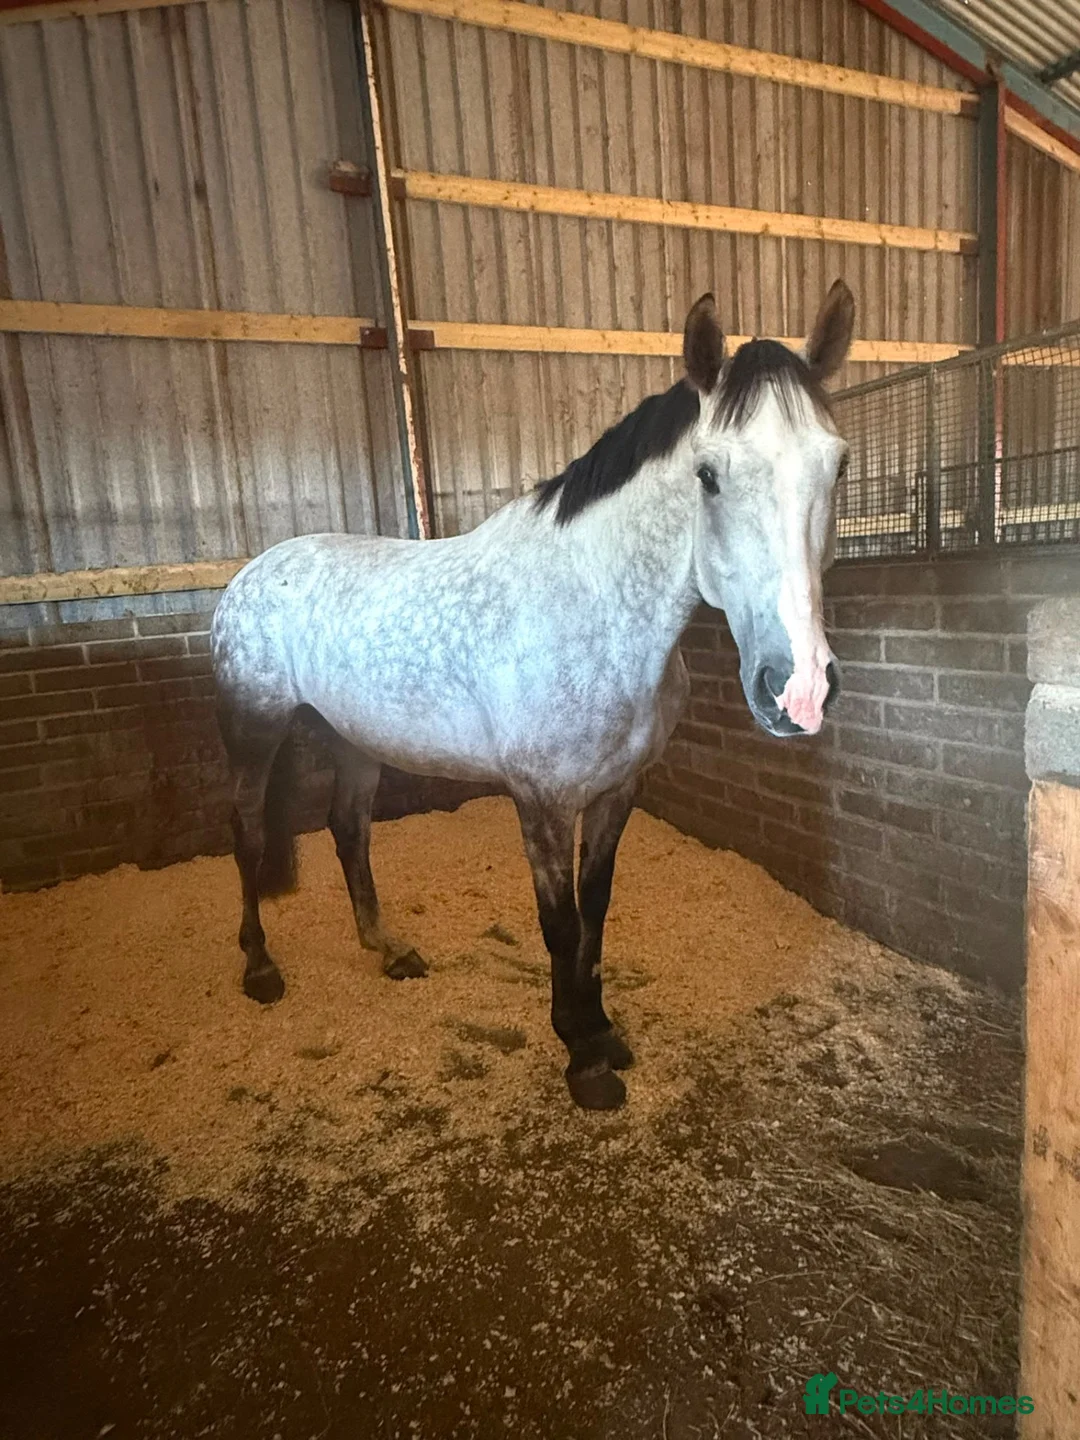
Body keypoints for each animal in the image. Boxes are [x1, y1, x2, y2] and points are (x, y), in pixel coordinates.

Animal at [210, 280, 855, 1111]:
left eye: (837, 465)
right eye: (708, 474)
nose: (797, 687)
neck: (593, 605)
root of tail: (254, 572)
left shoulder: (617, 791)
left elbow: (595, 913)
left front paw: (604, 1033)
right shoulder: (542, 800)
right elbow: (559, 923)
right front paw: (583, 1060)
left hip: (352, 739)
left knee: (348, 831)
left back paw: (389, 951)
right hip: (253, 732)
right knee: (251, 836)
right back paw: (260, 969)